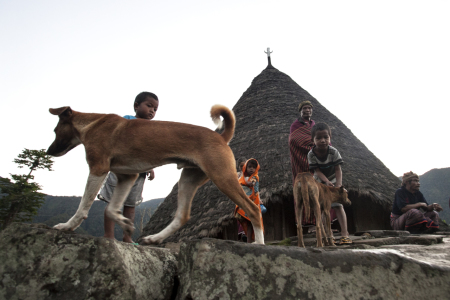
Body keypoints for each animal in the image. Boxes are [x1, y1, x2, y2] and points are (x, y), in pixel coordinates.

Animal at [46, 104, 264, 245]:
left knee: (253, 210)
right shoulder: (127, 176)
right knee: (182, 216)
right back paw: (156, 238)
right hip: (188, 179)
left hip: (222, 177)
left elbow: (83, 205)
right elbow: (111, 209)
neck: (92, 123)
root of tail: (220, 136)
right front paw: (125, 223)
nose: (48, 151)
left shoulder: (98, 168)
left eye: (56, 130)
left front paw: (67, 226)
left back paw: (259, 244)